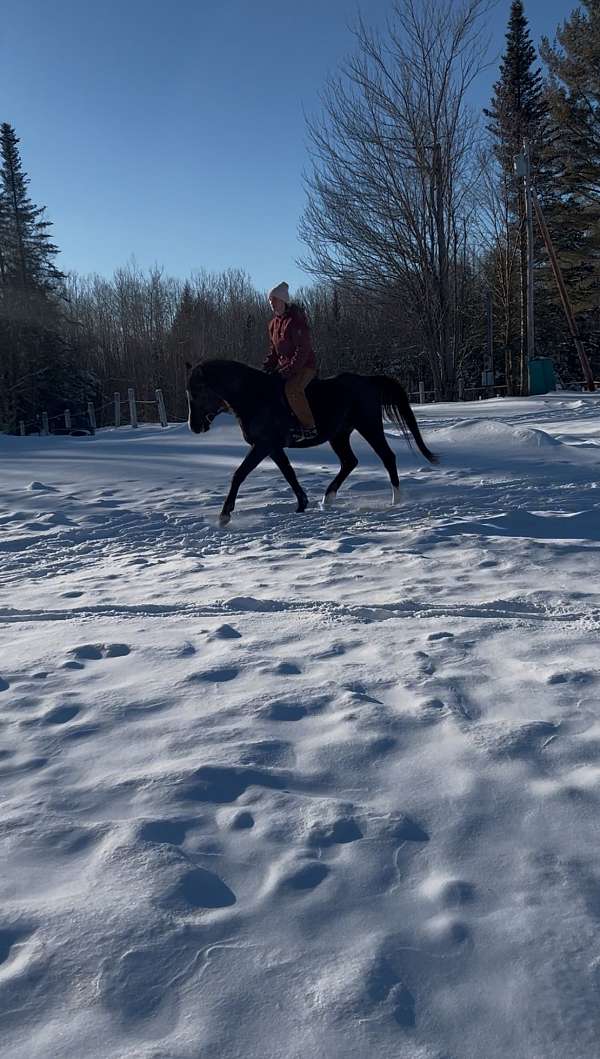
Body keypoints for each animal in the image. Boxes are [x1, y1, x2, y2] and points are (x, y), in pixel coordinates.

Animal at [188, 362, 435, 527]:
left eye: (197, 392)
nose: (194, 427)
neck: (253, 396)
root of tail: (368, 380)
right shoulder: (273, 448)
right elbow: (289, 474)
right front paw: (302, 504)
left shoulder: (263, 446)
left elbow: (239, 474)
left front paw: (224, 515)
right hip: (339, 435)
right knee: (350, 462)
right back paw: (328, 499)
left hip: (368, 426)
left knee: (387, 456)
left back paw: (396, 499)